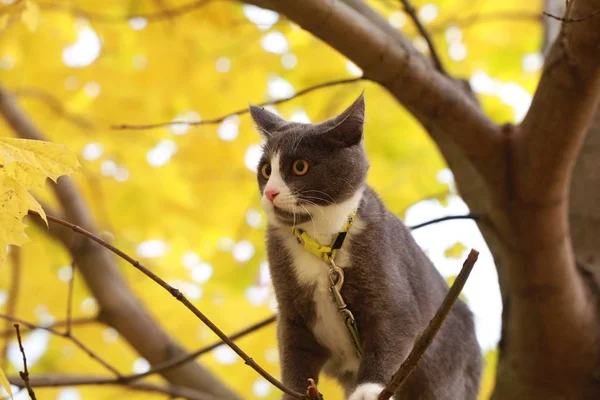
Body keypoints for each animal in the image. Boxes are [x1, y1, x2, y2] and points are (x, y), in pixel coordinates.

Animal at [250, 94, 482, 400]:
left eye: (300, 166)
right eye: (266, 170)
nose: (271, 193)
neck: (323, 243)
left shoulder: (390, 284)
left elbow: (390, 333)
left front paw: (368, 389)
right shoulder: (291, 313)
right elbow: (295, 356)